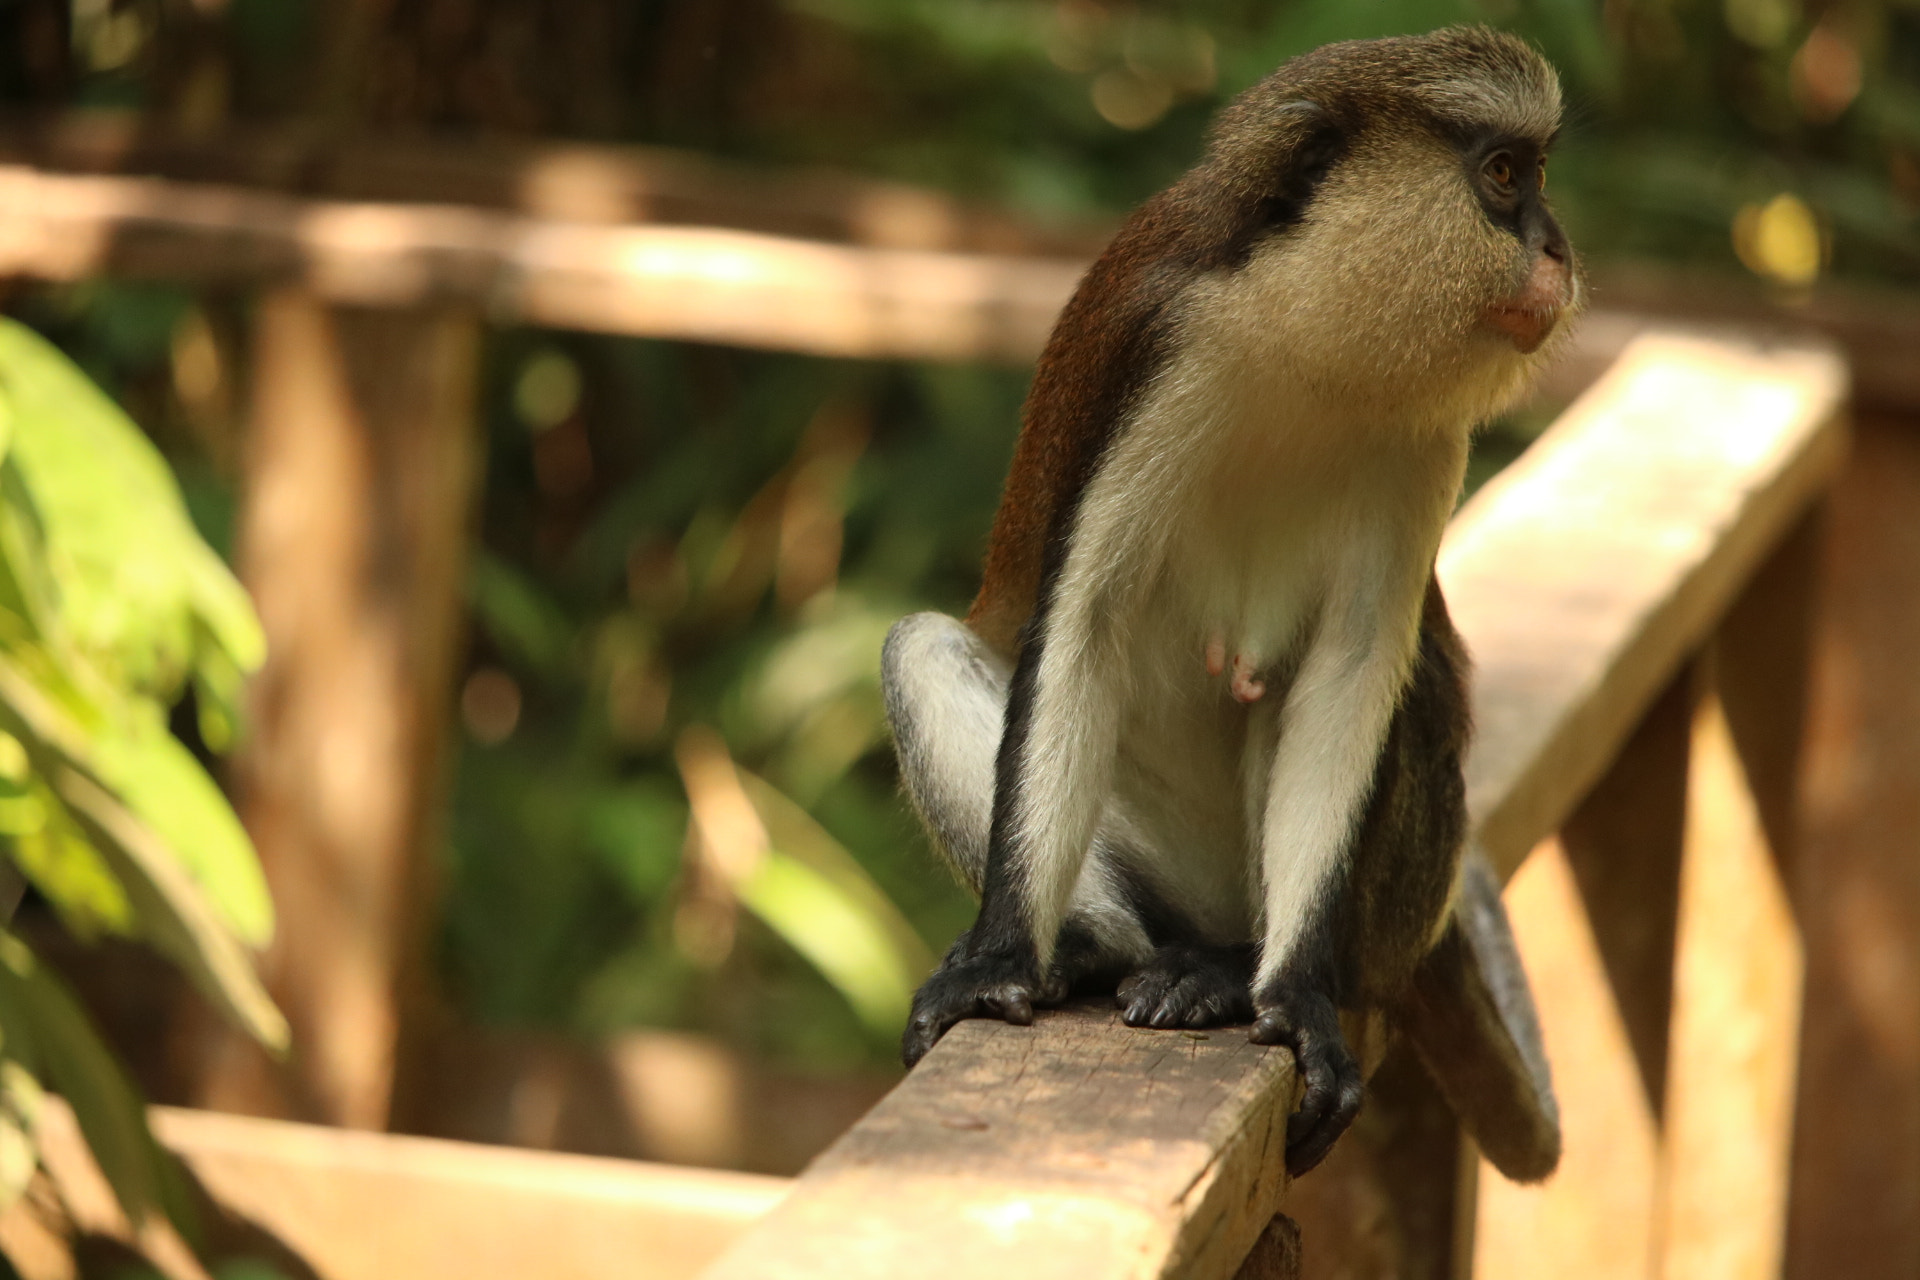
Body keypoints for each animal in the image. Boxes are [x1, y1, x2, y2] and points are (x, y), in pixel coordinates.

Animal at [881, 26, 1580, 1177]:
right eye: (1504, 174)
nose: (1559, 248)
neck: (1310, 330)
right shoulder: (1160, 351)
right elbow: (1084, 625)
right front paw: (1000, 957)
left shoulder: (1426, 443)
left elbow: (1349, 671)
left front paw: (1292, 995)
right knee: (920, 646)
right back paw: (1090, 949)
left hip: (1391, 900)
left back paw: (1233, 964)